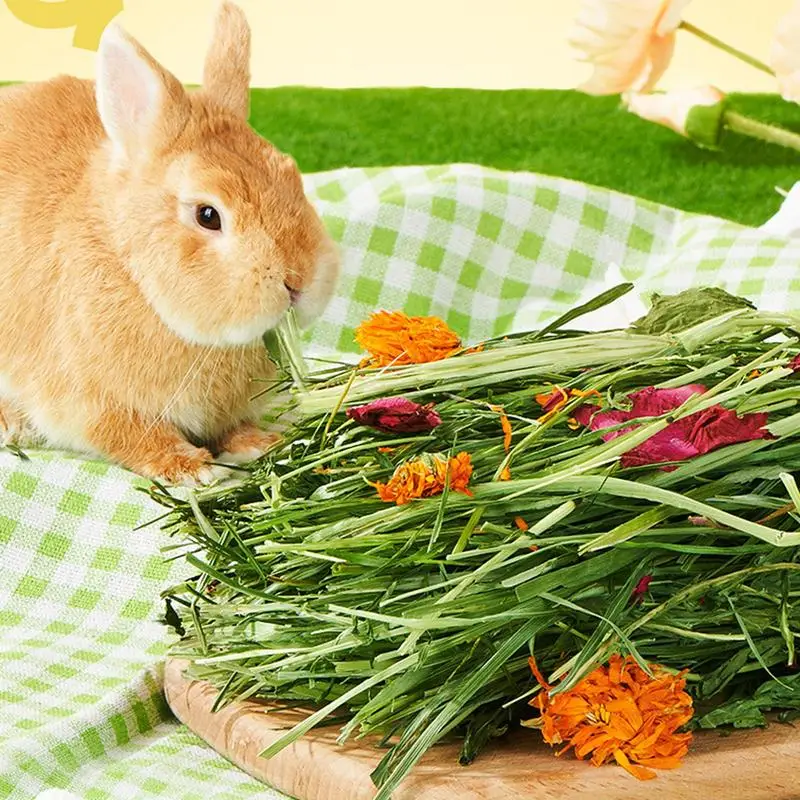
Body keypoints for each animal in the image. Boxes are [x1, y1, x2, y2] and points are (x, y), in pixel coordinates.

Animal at [0, 2, 340, 486]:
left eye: (292, 177)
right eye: (208, 215)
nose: (299, 280)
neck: (133, 273)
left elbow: (233, 426)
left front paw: (258, 443)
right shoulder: (93, 402)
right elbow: (135, 436)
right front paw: (192, 470)